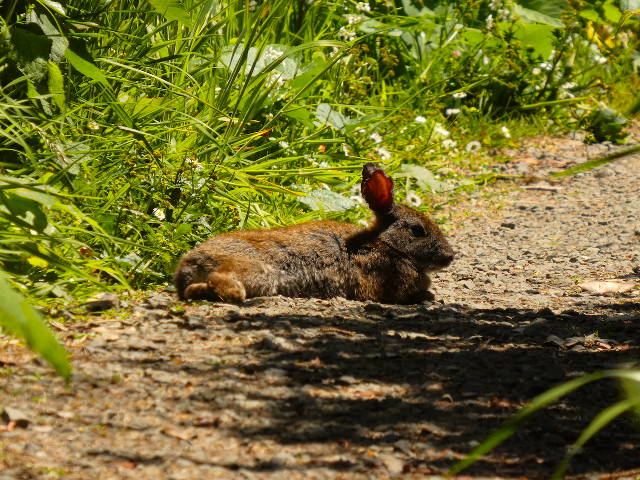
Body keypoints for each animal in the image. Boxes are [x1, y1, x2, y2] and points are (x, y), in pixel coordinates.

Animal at [174, 163, 454, 304]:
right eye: (418, 231)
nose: (450, 256)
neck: (386, 244)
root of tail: (189, 264)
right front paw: (429, 296)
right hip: (255, 270)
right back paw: (238, 296)